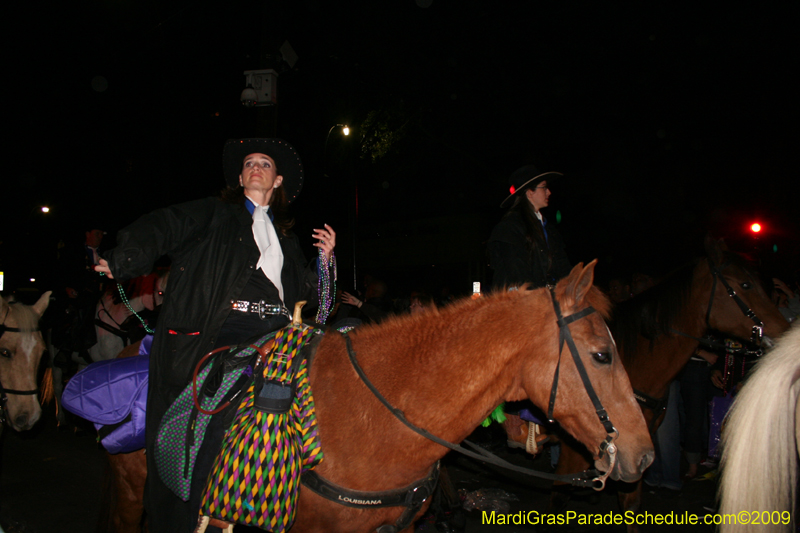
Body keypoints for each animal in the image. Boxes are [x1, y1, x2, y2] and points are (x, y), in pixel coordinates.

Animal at [548, 240, 792, 528]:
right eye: (746, 284)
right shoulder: (572, 454)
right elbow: (557, 500)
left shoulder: (634, 453)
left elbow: (631, 506)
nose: (786, 333)